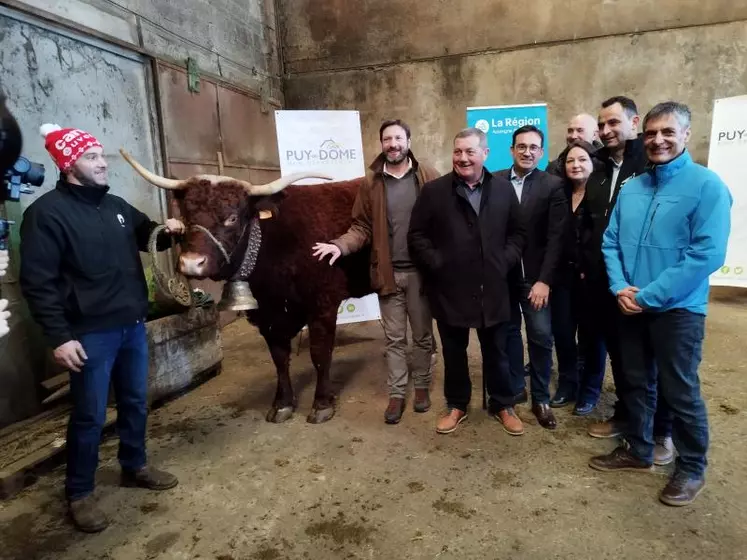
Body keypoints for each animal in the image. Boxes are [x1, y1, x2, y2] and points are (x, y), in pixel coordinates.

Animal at [120, 151, 374, 422]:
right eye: (186, 216)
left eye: (232, 217)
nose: (191, 263)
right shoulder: (267, 314)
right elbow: (279, 358)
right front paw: (282, 404)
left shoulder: (322, 304)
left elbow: (320, 354)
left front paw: (322, 404)